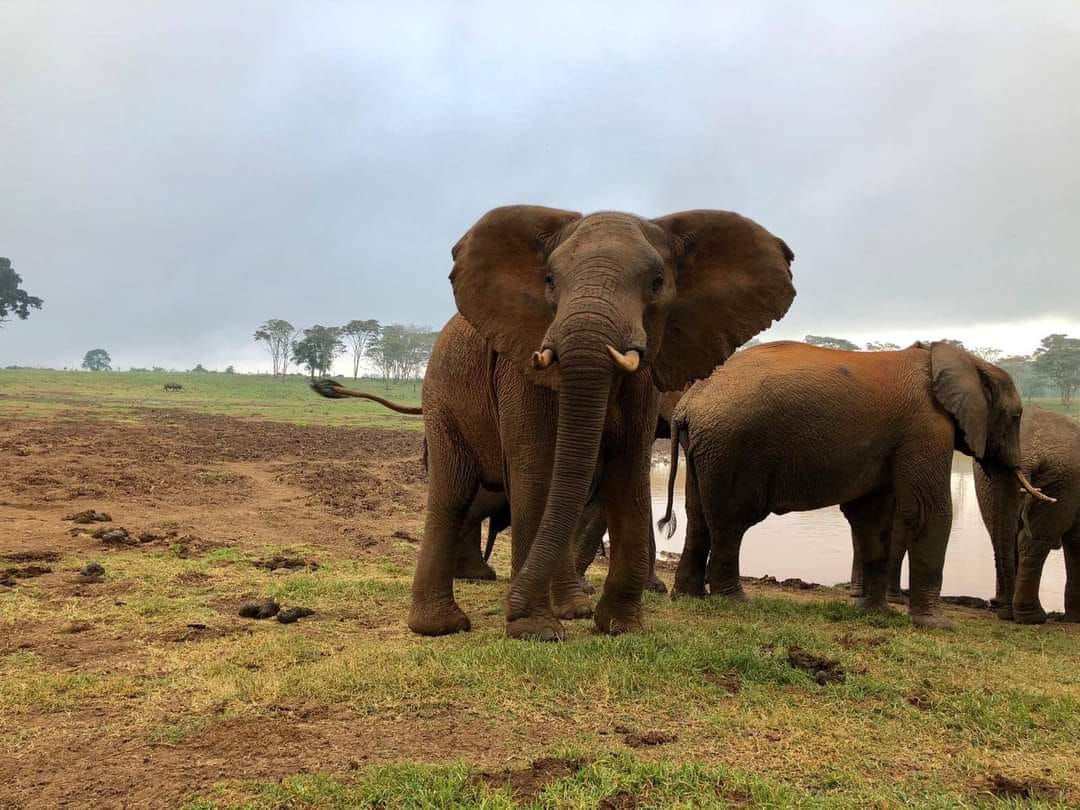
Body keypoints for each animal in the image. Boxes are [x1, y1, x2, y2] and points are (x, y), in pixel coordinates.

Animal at [656, 339, 1036, 630]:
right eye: (1016, 416)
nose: (1003, 613)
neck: (956, 358)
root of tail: (689, 402)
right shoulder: (926, 427)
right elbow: (928, 512)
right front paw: (937, 625)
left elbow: (871, 517)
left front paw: (875, 612)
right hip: (733, 447)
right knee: (731, 521)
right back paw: (736, 601)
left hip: (705, 448)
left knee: (698, 516)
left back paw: (689, 595)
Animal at [976, 408, 1075, 626]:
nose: (992, 602)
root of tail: (1028, 454)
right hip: (1063, 479)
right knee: (1033, 542)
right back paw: (1031, 617)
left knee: (1005, 538)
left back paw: (1008, 612)